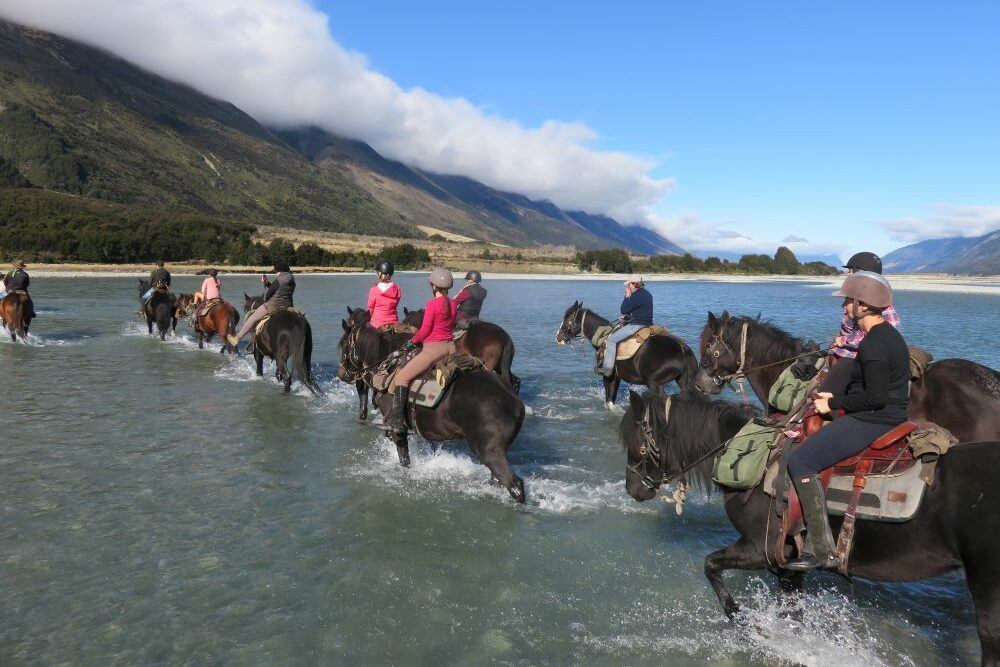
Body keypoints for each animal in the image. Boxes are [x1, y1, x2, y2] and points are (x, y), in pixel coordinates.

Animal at [338, 316, 528, 504]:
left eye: (343, 345)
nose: (341, 374)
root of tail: (514, 402)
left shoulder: (395, 428)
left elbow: (404, 458)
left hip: (490, 452)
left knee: (515, 485)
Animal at [556, 302, 696, 408]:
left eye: (568, 319)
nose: (558, 337)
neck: (603, 338)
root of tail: (682, 348)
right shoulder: (616, 377)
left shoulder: (609, 375)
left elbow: (610, 400)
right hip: (681, 381)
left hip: (653, 383)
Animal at [616, 392, 1000, 667]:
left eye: (638, 443)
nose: (633, 489)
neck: (752, 456)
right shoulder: (790, 562)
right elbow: (792, 612)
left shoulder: (762, 549)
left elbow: (711, 566)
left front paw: (748, 624)